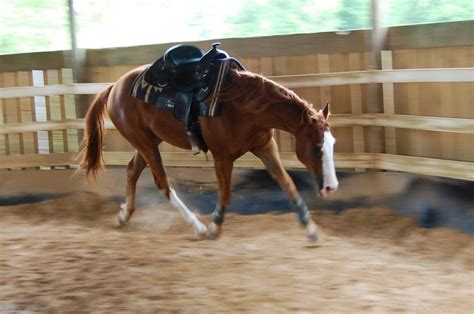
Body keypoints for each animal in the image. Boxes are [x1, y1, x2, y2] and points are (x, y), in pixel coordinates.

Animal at [80, 66, 336, 240]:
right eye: (316, 147)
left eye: (332, 143)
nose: (330, 187)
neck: (243, 105)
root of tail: (114, 87)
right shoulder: (222, 156)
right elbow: (225, 192)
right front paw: (214, 226)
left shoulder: (265, 146)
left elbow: (287, 183)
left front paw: (311, 228)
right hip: (145, 143)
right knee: (162, 182)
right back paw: (200, 227)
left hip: (148, 141)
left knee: (132, 171)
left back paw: (125, 215)